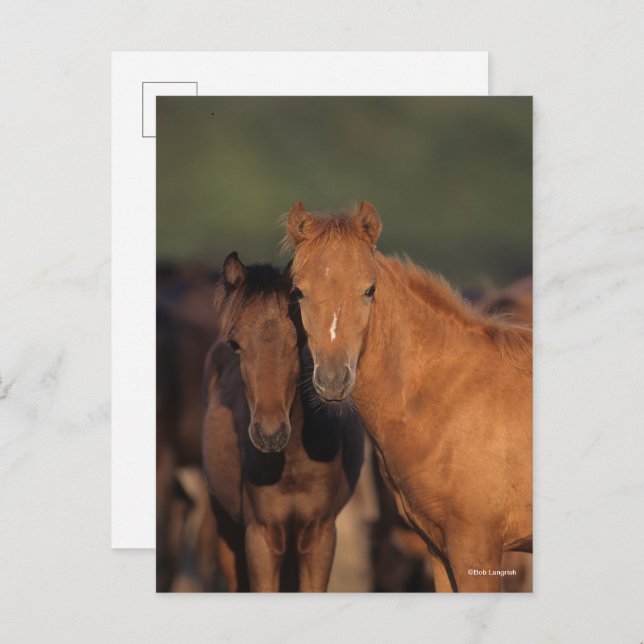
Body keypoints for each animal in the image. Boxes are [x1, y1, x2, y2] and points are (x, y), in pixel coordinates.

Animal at [202, 252, 364, 592]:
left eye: (298, 339)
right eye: (235, 343)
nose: (270, 433)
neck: (292, 465)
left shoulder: (319, 533)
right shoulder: (261, 535)